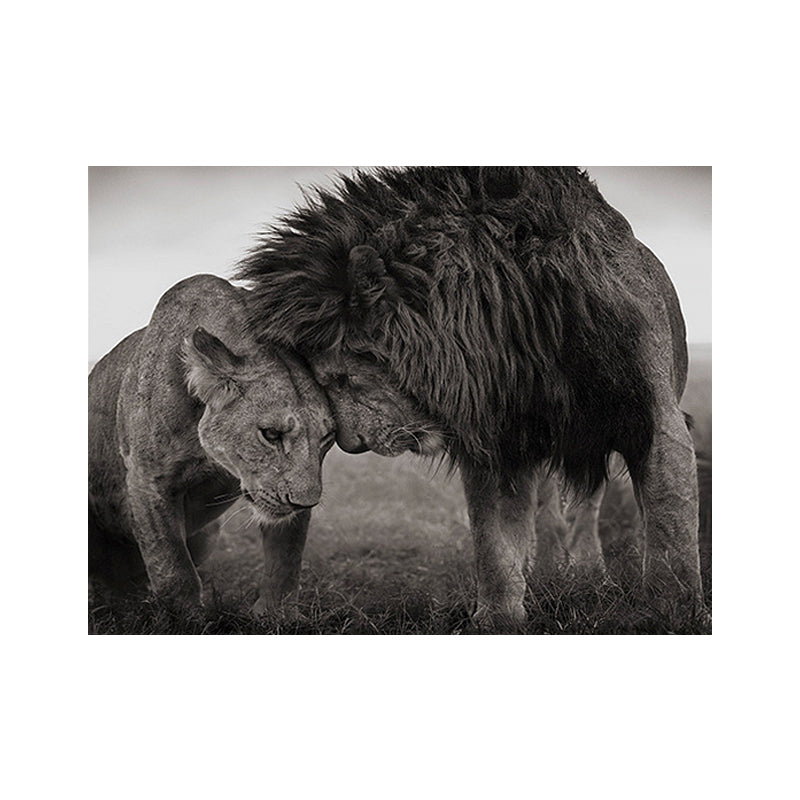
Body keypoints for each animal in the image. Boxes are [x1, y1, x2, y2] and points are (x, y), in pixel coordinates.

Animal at [88, 274, 335, 612]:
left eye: (327, 438)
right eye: (271, 434)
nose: (305, 503)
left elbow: (286, 559)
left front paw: (275, 614)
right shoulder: (147, 479)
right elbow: (173, 568)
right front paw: (185, 617)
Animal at [237, 166, 705, 628]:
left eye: (340, 378)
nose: (353, 445)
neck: (517, 330)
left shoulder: (654, 420)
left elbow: (671, 531)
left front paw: (672, 614)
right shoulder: (498, 440)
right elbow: (494, 542)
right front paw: (498, 618)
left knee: (587, 506)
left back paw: (590, 573)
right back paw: (551, 572)